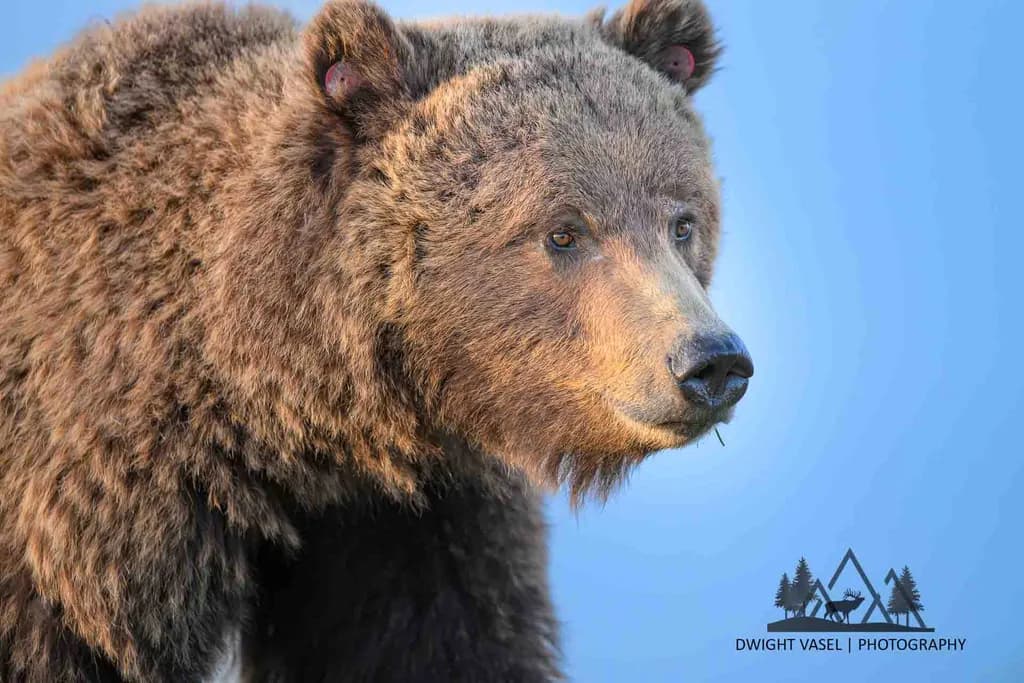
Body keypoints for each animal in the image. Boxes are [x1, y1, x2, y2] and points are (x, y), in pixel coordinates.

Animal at [0, 0, 753, 680]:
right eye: (564, 231)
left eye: (683, 221)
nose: (710, 361)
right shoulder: (83, 518)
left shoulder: (408, 526)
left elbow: (438, 644)